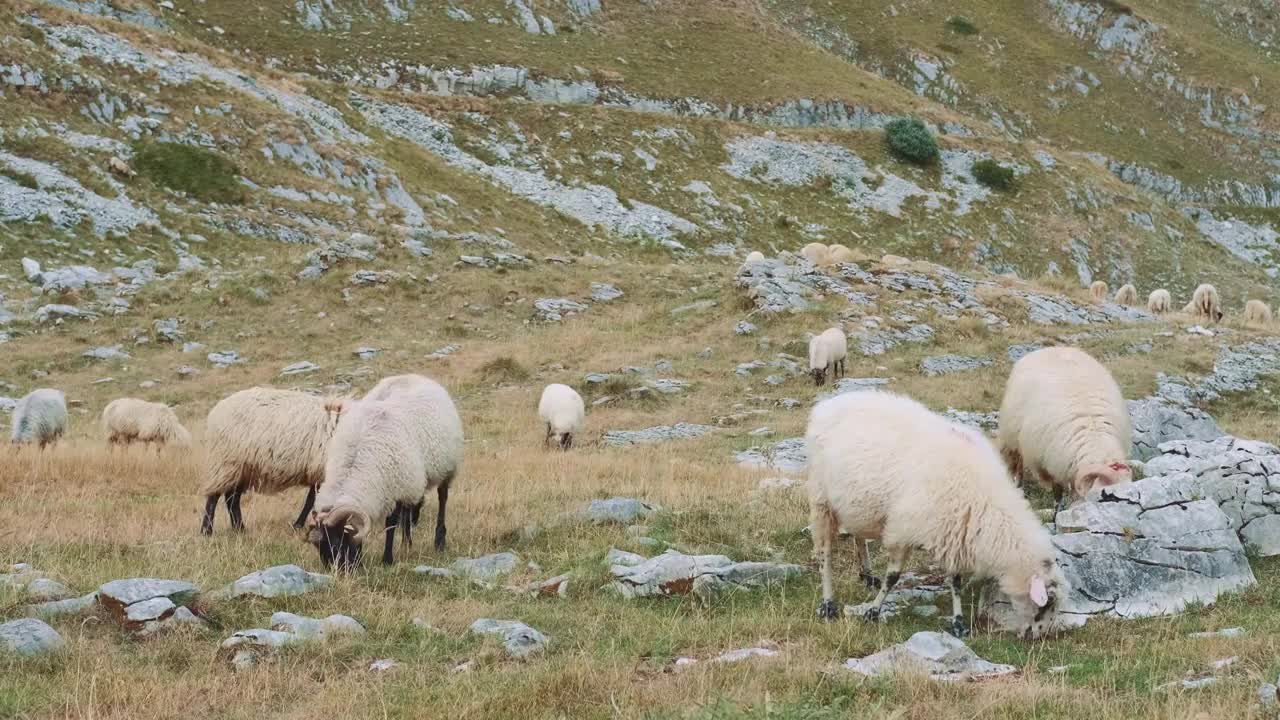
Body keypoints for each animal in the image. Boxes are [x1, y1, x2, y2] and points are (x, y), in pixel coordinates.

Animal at [197, 386, 345, 532]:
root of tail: (217, 410)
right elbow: (313, 501)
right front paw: (300, 526)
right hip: (225, 462)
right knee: (214, 497)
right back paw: (207, 531)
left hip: (242, 468)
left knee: (231, 498)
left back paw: (240, 529)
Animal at [309, 371, 465, 568]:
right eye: (319, 547)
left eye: (337, 543)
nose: (340, 571)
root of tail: (414, 375)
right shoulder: (398, 483)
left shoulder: (394, 487)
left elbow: (391, 524)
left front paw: (387, 559)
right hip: (411, 477)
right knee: (409, 509)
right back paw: (407, 543)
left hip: (446, 466)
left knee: (442, 498)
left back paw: (439, 541)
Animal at [808, 389, 1070, 635]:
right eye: (1046, 605)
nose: (1039, 636)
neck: (985, 501)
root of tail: (827, 404)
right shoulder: (903, 531)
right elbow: (893, 577)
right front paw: (873, 610)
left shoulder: (955, 531)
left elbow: (955, 581)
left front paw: (959, 622)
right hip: (821, 500)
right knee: (824, 553)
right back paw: (828, 603)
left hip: (854, 504)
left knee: (858, 536)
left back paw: (867, 574)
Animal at [998, 345, 1131, 507]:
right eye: (1105, 496)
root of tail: (1052, 348)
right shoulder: (1053, 464)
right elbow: (1058, 494)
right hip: (1013, 436)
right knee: (1017, 465)